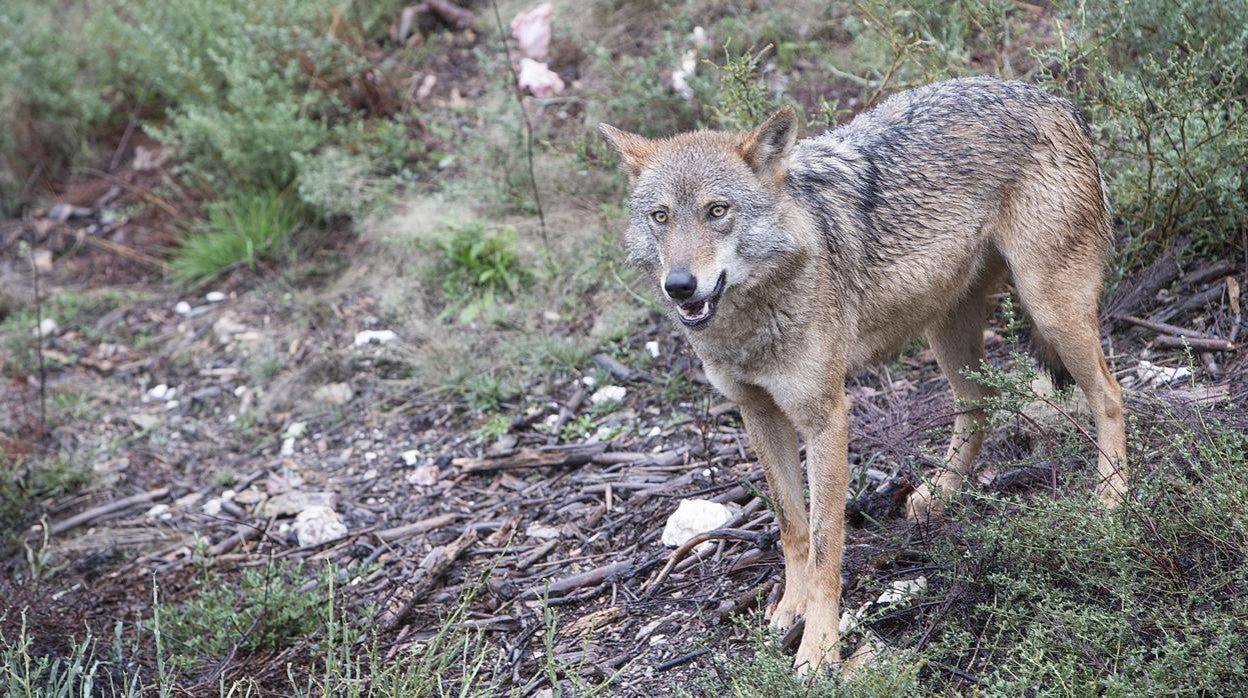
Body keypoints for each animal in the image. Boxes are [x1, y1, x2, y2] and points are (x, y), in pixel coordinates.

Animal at [601, 75, 1133, 674]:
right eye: (661, 216)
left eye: (718, 211)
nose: (680, 285)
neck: (753, 319)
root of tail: (1052, 97)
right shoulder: (758, 414)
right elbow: (792, 527)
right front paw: (789, 609)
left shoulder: (826, 419)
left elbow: (825, 545)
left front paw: (818, 649)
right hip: (947, 331)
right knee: (977, 406)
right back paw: (939, 495)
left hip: (1050, 311)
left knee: (1111, 395)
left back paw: (1111, 502)